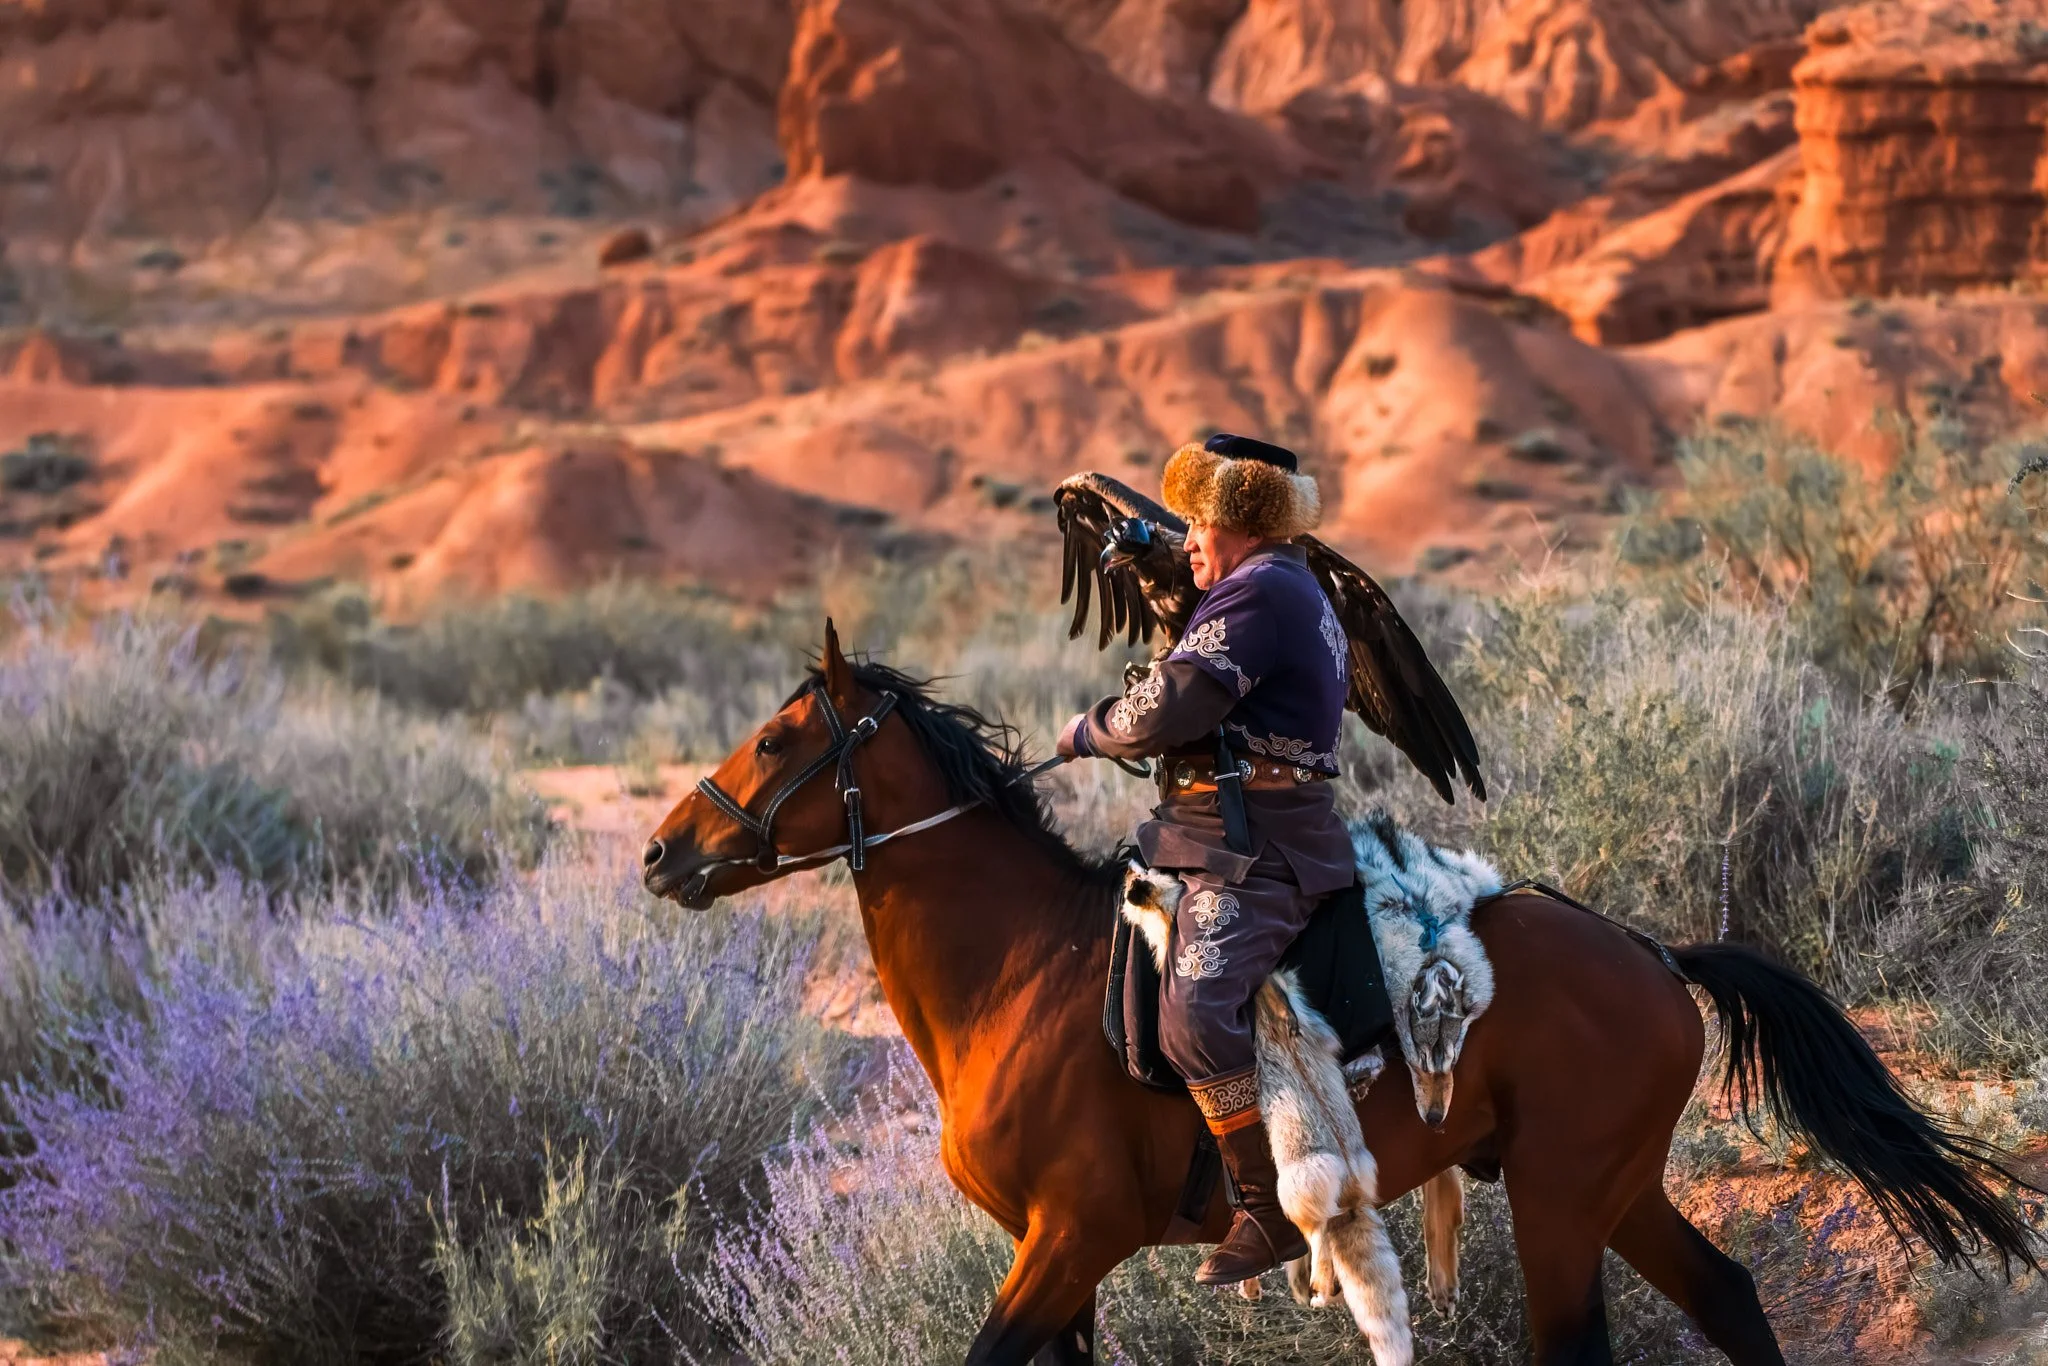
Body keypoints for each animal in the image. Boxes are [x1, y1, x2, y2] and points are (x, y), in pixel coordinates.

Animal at [641, 623, 2042, 1366]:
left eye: (777, 737)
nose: (662, 854)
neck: (1018, 974)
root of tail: (1650, 951)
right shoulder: (1059, 1259)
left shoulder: (1068, 1238)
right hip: (1614, 1186)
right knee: (1728, 1294)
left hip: (1560, 1200)